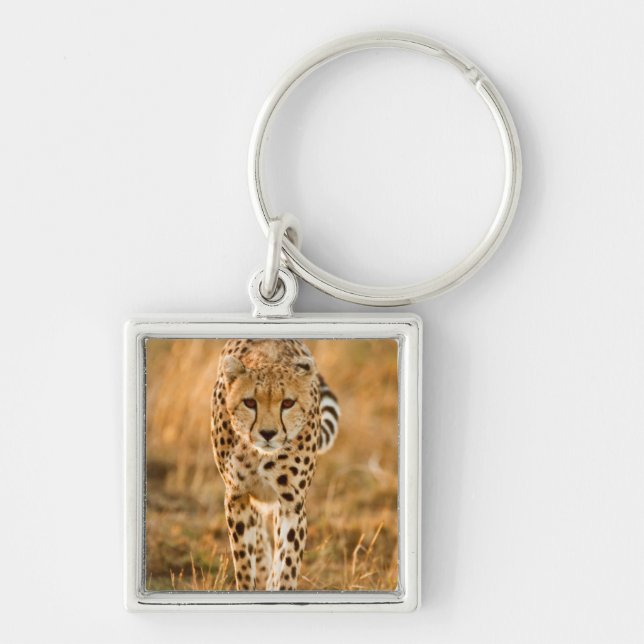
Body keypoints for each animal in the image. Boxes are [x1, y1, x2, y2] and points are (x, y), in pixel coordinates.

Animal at [210, 338, 340, 591]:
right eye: (249, 402)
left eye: (287, 403)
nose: (268, 433)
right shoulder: (237, 496)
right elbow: (244, 560)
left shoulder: (292, 503)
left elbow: (287, 562)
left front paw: (279, 584)